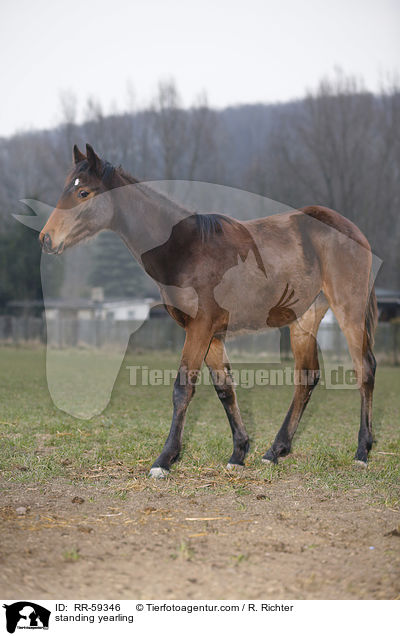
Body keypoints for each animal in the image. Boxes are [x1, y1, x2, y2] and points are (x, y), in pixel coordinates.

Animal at [39, 144, 376, 476]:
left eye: (83, 193)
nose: (46, 238)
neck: (186, 249)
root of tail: (352, 229)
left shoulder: (199, 328)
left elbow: (182, 388)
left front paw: (165, 459)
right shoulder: (213, 335)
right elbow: (225, 390)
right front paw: (238, 454)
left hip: (349, 310)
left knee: (364, 368)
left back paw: (362, 451)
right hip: (304, 319)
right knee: (306, 377)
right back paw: (275, 451)